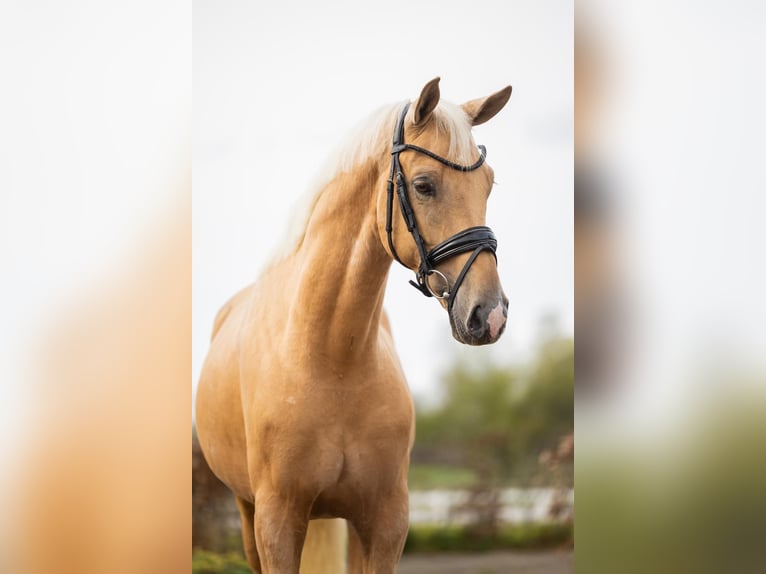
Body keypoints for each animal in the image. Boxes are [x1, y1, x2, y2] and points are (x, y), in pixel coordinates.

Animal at [195, 77, 512, 574]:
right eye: (424, 185)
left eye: (489, 184)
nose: (490, 314)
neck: (332, 360)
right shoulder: (276, 522)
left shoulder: (385, 521)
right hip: (247, 514)